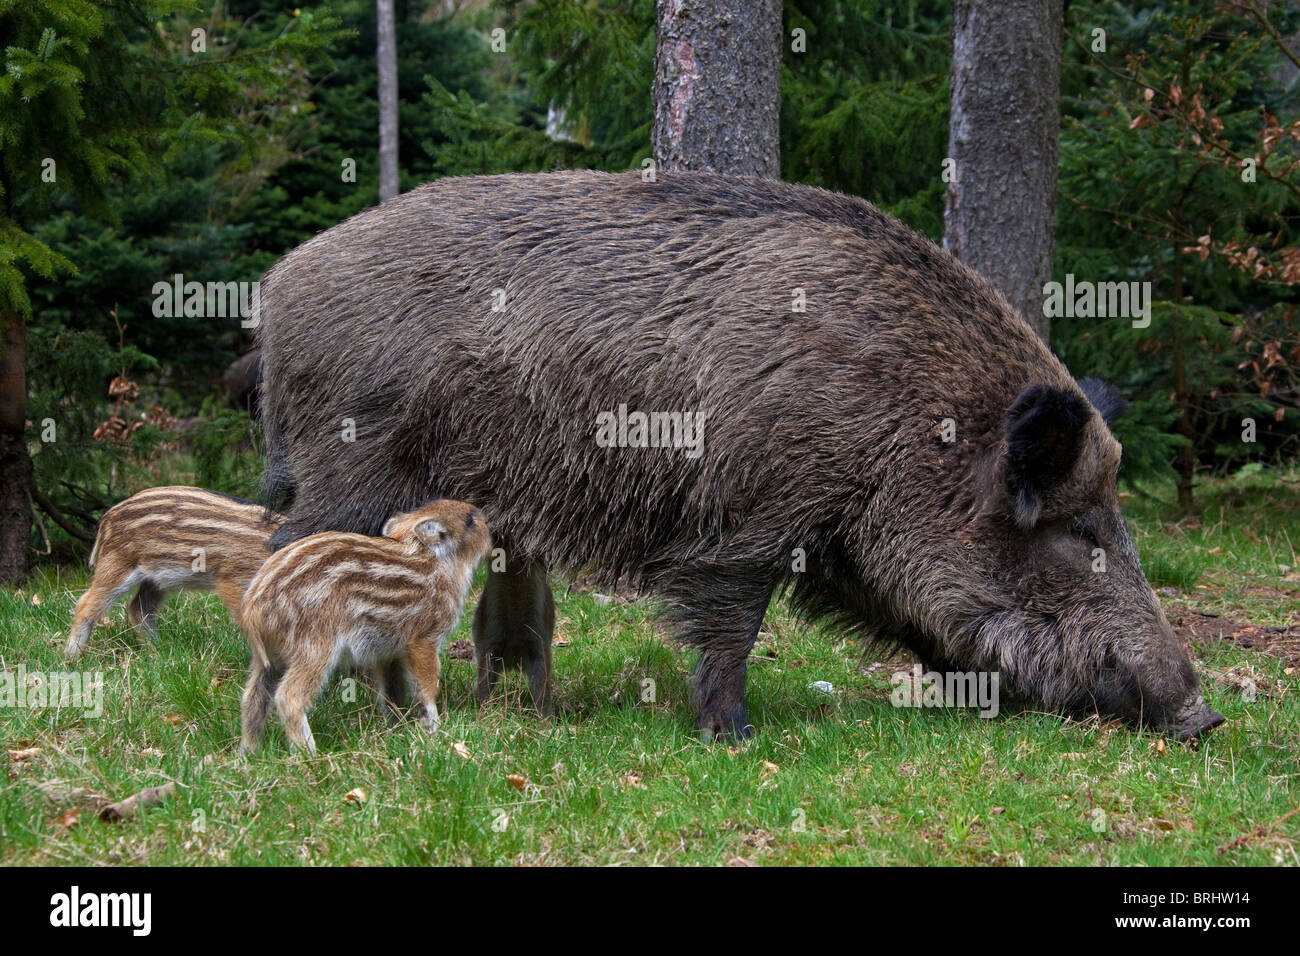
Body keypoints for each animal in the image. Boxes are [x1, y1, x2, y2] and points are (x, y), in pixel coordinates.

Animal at [66, 486, 284, 659]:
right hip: (117, 564)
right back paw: (72, 657)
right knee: (86, 603)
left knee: (138, 607)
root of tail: (105, 519)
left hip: (156, 579)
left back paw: (157, 651)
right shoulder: (231, 577)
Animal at [238, 499, 490, 753]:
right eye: (469, 520)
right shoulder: (423, 638)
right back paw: (309, 752)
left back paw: (248, 753)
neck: (439, 562)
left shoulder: (388, 651)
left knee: (253, 697)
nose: (487, 520)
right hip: (314, 647)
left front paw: (396, 729)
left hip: (270, 658)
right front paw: (436, 730)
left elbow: (391, 691)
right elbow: (427, 686)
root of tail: (252, 609)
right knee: (289, 697)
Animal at [254, 169, 1224, 742]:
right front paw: (732, 734)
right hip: (351, 463)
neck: (908, 423)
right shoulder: (751, 518)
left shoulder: (846, 544)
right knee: (284, 548)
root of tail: (279, 284)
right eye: (1075, 527)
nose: (1203, 712)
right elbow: (733, 623)